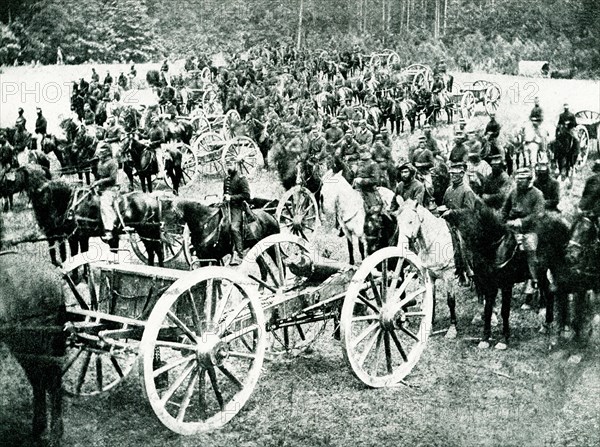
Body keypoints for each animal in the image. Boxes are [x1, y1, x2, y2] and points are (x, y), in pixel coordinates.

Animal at [0, 214, 67, 447]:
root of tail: (53, 275)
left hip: (35, 337)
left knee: (50, 379)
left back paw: (54, 433)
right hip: (23, 340)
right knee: (38, 379)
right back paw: (39, 428)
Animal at [396, 200, 462, 340]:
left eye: (410, 221)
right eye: (398, 222)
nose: (401, 246)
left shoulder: (449, 276)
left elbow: (451, 301)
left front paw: (452, 329)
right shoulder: (429, 277)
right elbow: (431, 300)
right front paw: (429, 327)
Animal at [446, 203, 572, 350]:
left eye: (467, 217)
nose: (446, 213)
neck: (496, 248)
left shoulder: (506, 285)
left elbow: (504, 311)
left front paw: (504, 340)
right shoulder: (489, 286)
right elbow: (488, 310)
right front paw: (485, 338)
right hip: (541, 272)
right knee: (548, 291)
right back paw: (546, 325)